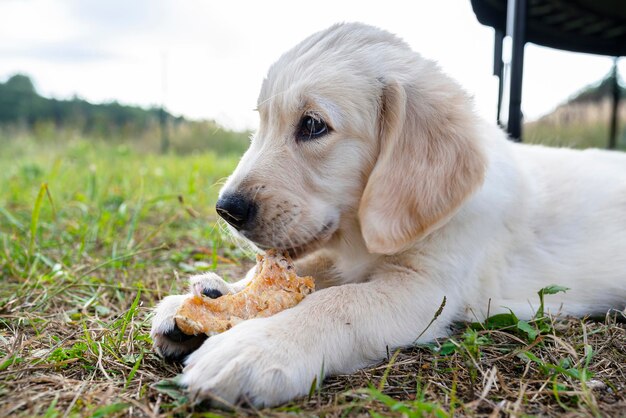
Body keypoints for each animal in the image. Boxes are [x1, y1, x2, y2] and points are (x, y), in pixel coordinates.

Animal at [150, 22, 624, 404]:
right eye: (262, 122)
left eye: (313, 125)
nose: (225, 210)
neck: (361, 235)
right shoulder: (338, 255)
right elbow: (310, 272)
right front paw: (213, 297)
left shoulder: (426, 289)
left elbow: (338, 302)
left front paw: (257, 347)